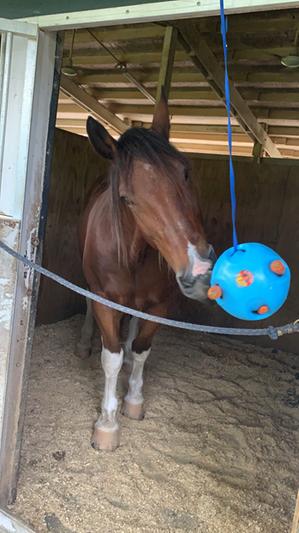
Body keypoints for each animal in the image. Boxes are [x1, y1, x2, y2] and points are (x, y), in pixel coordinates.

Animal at [76, 94, 214, 448]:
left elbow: (141, 349)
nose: (200, 268)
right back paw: (84, 343)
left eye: (186, 172)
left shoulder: (160, 304)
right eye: (127, 198)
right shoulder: (105, 299)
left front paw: (134, 400)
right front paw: (107, 424)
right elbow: (110, 357)